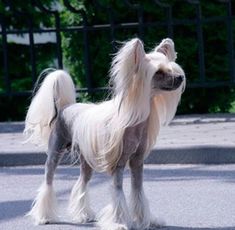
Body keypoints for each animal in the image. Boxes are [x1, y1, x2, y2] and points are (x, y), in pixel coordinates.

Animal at [23, 36, 185, 229]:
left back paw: (84, 215)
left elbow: (138, 192)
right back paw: (44, 216)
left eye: (171, 68)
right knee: (48, 181)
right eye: (158, 72)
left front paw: (146, 220)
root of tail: (65, 107)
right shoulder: (118, 164)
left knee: (82, 182)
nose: (181, 77)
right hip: (55, 152)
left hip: (86, 161)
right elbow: (118, 193)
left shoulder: (137, 163)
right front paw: (118, 222)